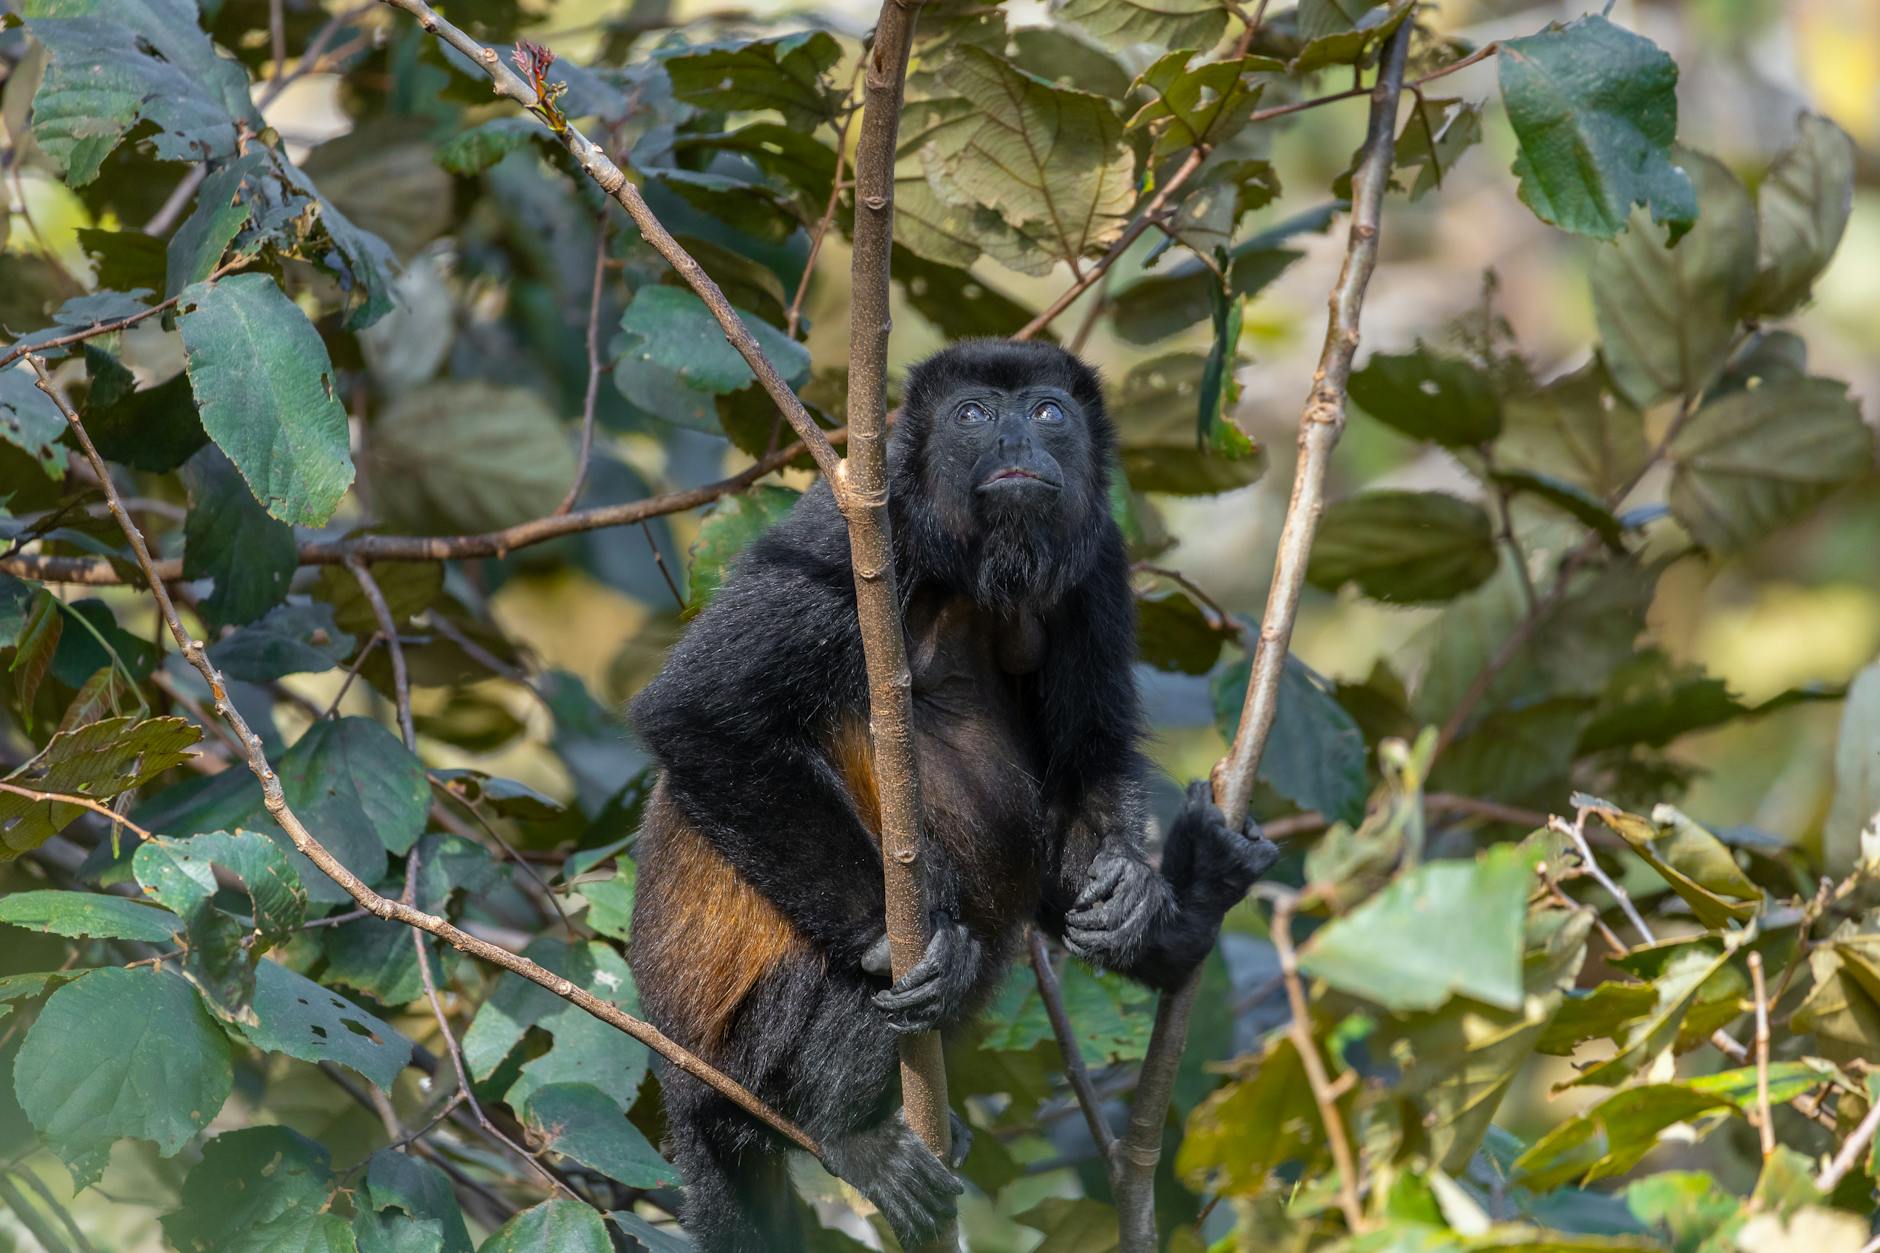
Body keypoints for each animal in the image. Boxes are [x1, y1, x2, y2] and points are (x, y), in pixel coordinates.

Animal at [626, 340, 1279, 1252]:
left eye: (1047, 411)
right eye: (973, 414)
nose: (1016, 440)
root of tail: (680, 1090)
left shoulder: (1100, 561)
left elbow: (1084, 755)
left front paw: (1133, 894)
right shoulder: (846, 538)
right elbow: (701, 712)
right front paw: (889, 937)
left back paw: (1189, 906)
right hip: (738, 1063)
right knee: (889, 965)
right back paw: (854, 1127)